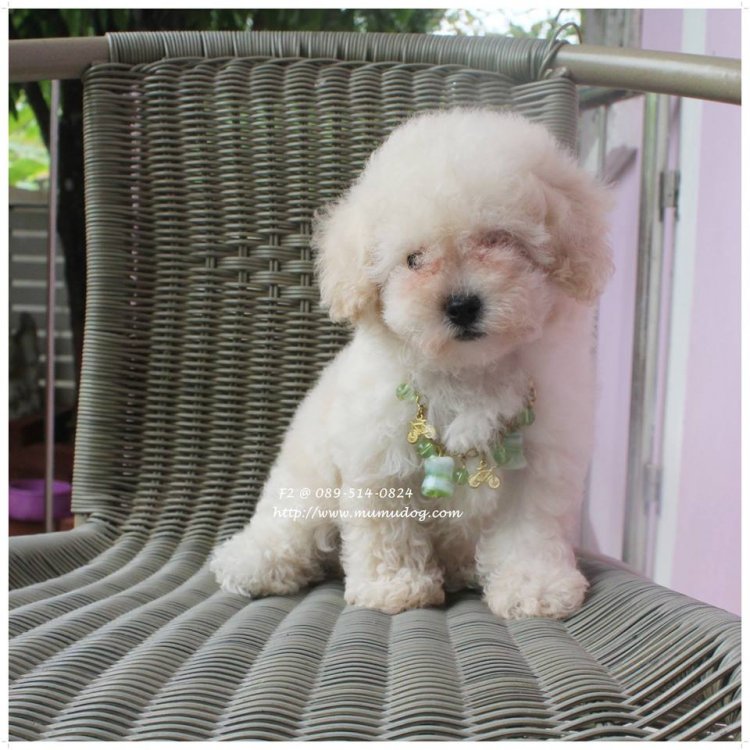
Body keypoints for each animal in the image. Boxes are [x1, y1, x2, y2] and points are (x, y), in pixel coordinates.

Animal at [210, 109, 612, 619]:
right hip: (304, 490)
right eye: (414, 259)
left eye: (499, 239)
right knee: (288, 529)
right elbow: (386, 526)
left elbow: (529, 529)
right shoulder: (378, 454)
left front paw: (534, 585)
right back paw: (252, 563)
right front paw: (393, 586)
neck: (469, 371)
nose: (461, 305)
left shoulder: (543, 460)